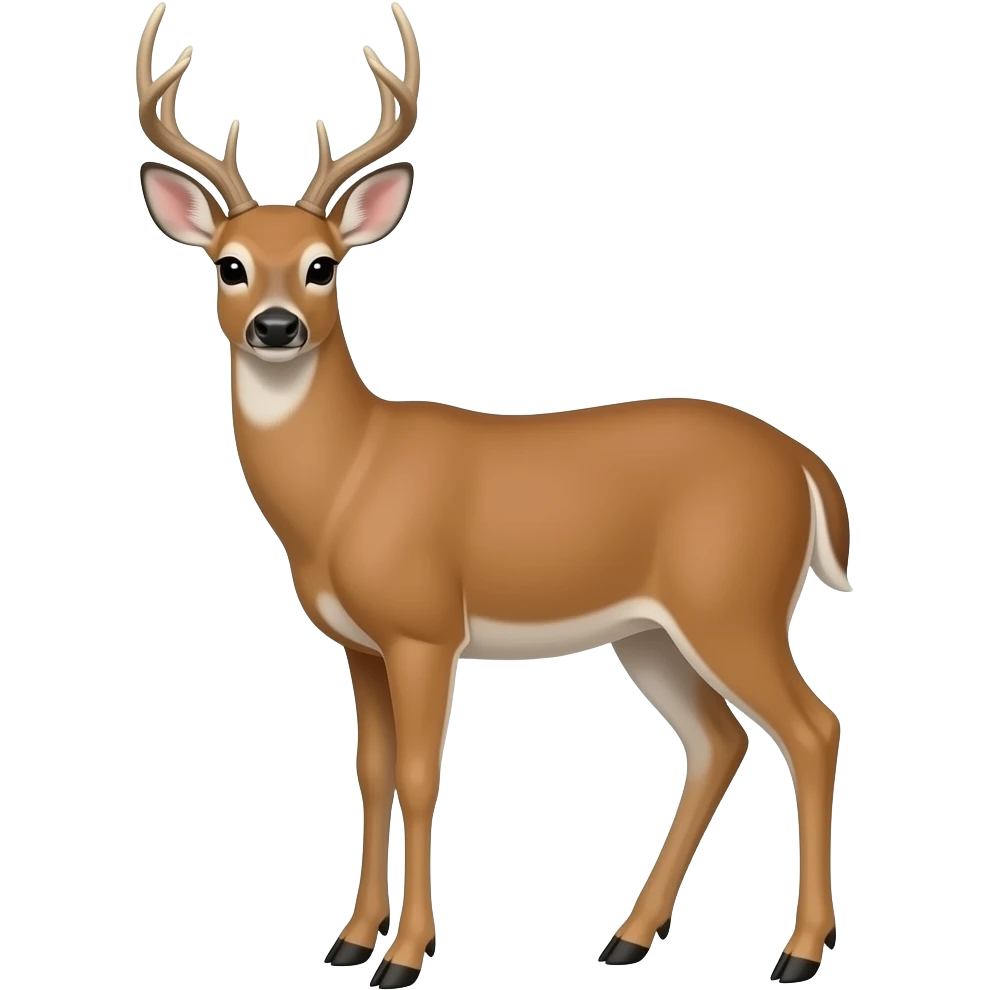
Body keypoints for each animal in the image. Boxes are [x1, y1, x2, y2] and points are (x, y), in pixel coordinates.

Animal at [134, 3, 852, 985]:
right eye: (229, 265)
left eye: (324, 265)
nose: (275, 328)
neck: (348, 480)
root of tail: (805, 464)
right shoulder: (359, 643)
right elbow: (369, 770)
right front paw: (348, 938)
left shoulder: (426, 626)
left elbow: (419, 775)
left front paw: (405, 955)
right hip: (651, 631)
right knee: (719, 741)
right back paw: (627, 939)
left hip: (733, 601)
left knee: (812, 728)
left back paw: (799, 953)